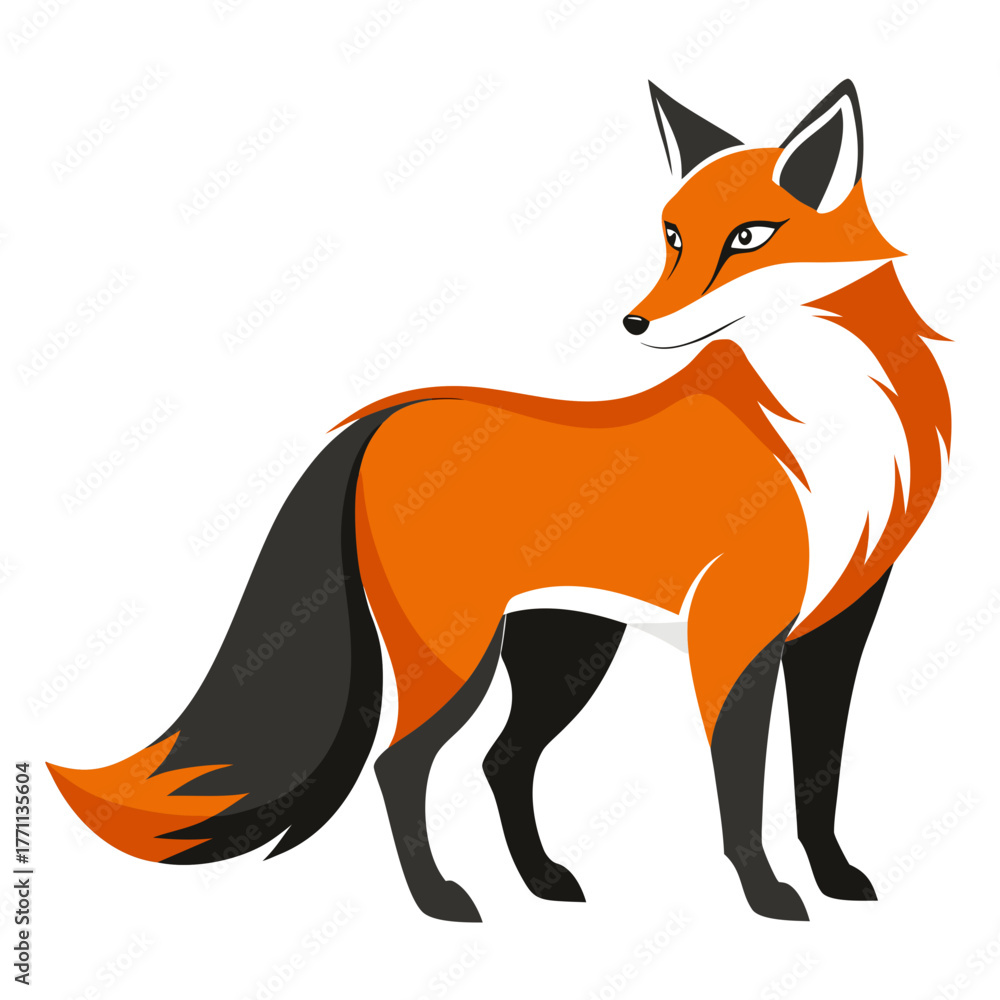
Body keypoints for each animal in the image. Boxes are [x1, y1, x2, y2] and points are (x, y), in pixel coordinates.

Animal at [49, 79, 951, 922]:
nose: (635, 323)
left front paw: (837, 879)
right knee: (401, 763)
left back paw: (542, 882)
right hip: (464, 657)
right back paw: (440, 899)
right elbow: (742, 791)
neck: (826, 429)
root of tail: (384, 417)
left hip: (564, 653)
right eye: (671, 235)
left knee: (500, 760)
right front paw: (767, 894)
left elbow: (817, 780)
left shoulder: (838, 623)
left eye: (750, 237)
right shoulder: (734, 636)